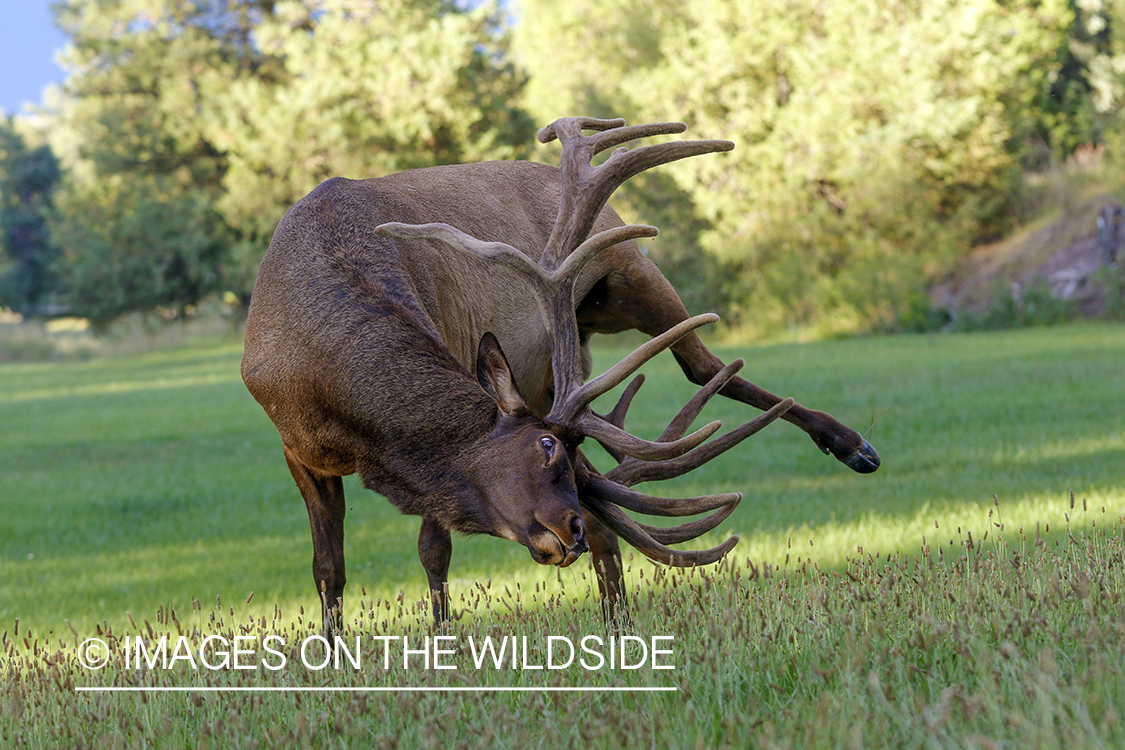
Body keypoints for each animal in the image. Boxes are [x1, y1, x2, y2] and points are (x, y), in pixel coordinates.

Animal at [241, 117, 880, 633]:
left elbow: (432, 549)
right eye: (544, 446)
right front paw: (332, 653)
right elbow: (329, 568)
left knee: (703, 366)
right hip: (566, 359)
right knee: (612, 503)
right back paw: (615, 617)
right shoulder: (295, 448)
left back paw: (851, 443)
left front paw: (443, 641)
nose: (567, 528)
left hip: (629, 265)